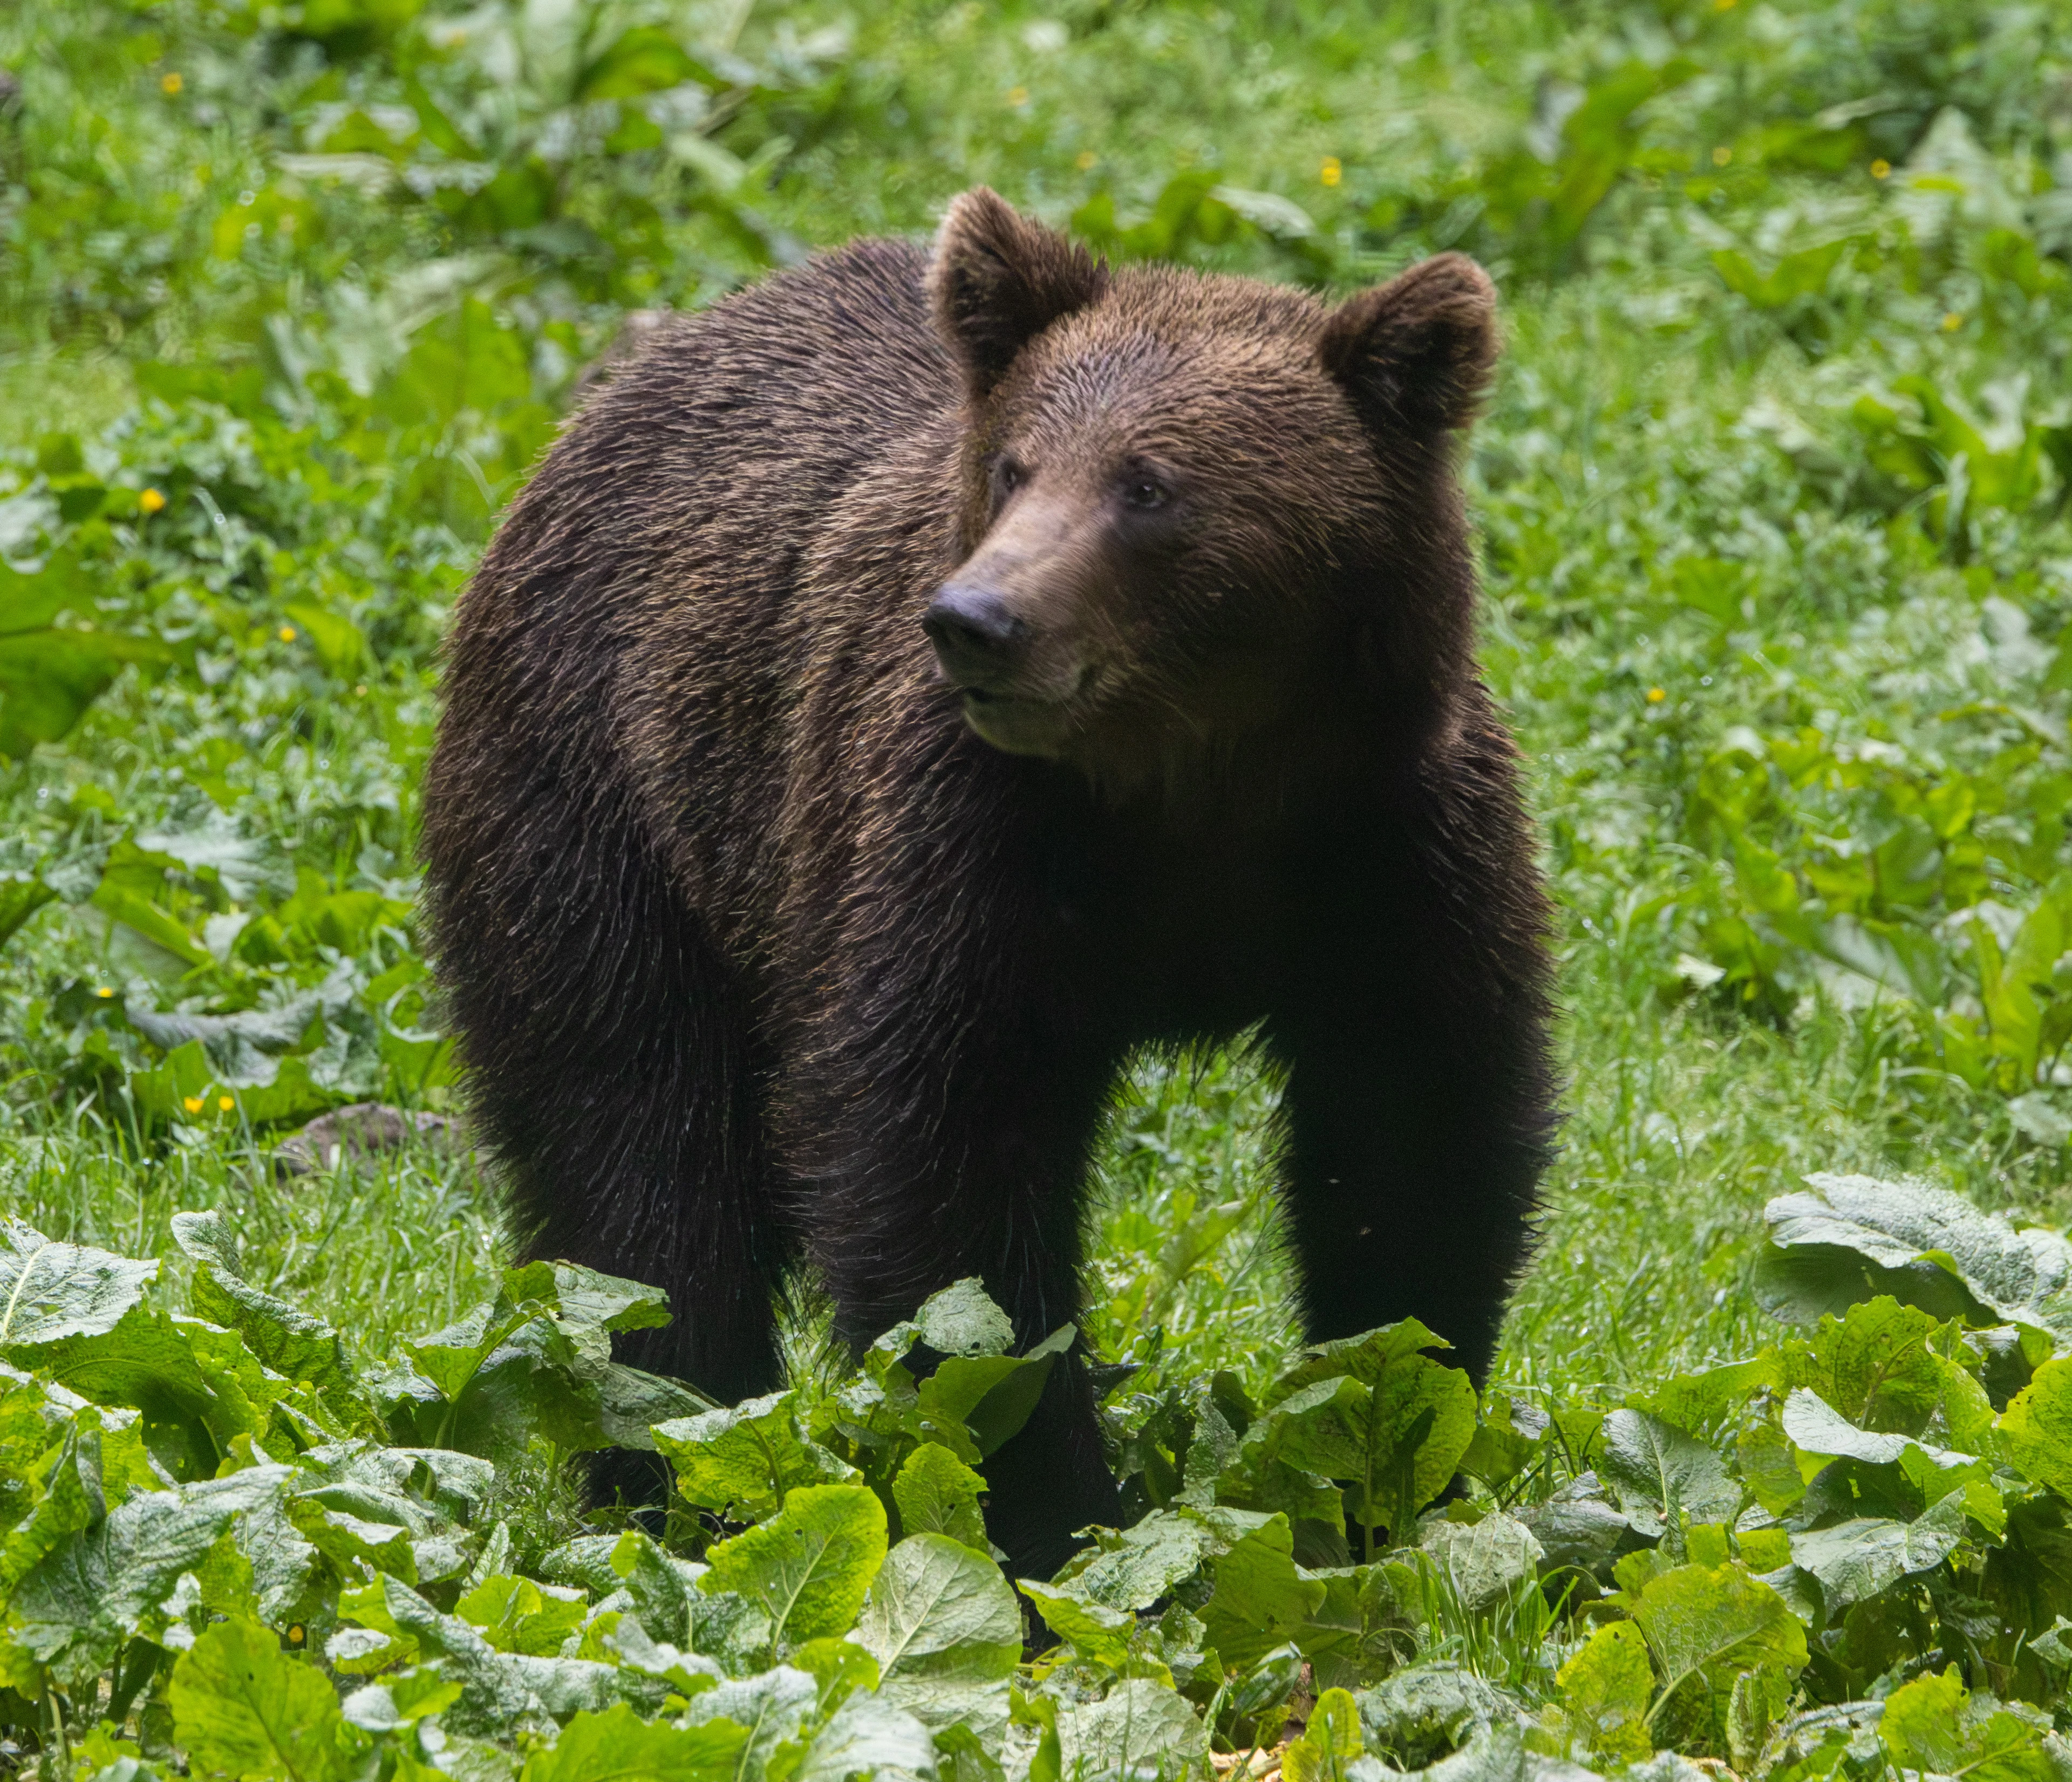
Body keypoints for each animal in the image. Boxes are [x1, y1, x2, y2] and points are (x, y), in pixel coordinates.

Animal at [420, 188, 1558, 1580]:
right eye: (1016, 464)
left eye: (1150, 485)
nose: (977, 618)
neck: (1190, 790)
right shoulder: (963, 853)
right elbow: (945, 1194)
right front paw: (1052, 1519)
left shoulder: (1387, 854)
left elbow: (1411, 1152)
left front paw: (1377, 1483)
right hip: (609, 808)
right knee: (641, 1159)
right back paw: (674, 1470)